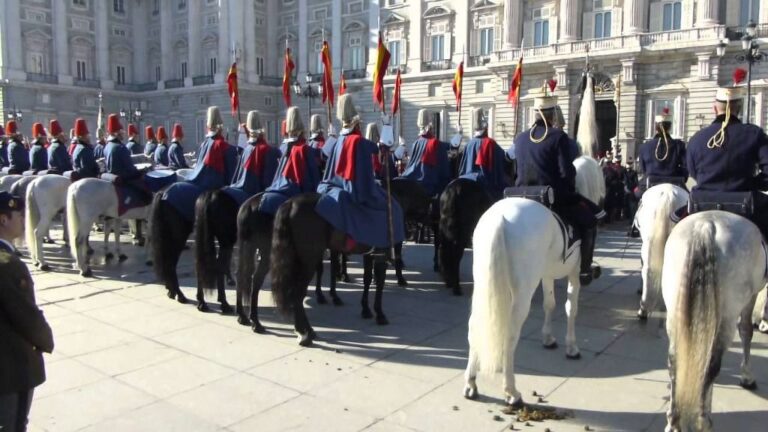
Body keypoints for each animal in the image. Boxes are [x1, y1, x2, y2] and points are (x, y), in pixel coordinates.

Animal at [464, 197, 584, 406]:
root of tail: (500, 217)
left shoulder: (547, 274)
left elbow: (549, 304)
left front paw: (548, 338)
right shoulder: (574, 271)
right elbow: (571, 308)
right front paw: (572, 347)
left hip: (483, 285)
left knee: (474, 327)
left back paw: (471, 383)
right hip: (522, 293)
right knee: (510, 335)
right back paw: (511, 391)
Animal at [660, 211, 760, 430]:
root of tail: (706, 225)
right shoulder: (751, 296)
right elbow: (746, 330)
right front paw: (747, 376)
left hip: (674, 311)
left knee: (674, 360)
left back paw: (674, 420)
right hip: (728, 314)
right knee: (713, 364)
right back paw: (703, 420)